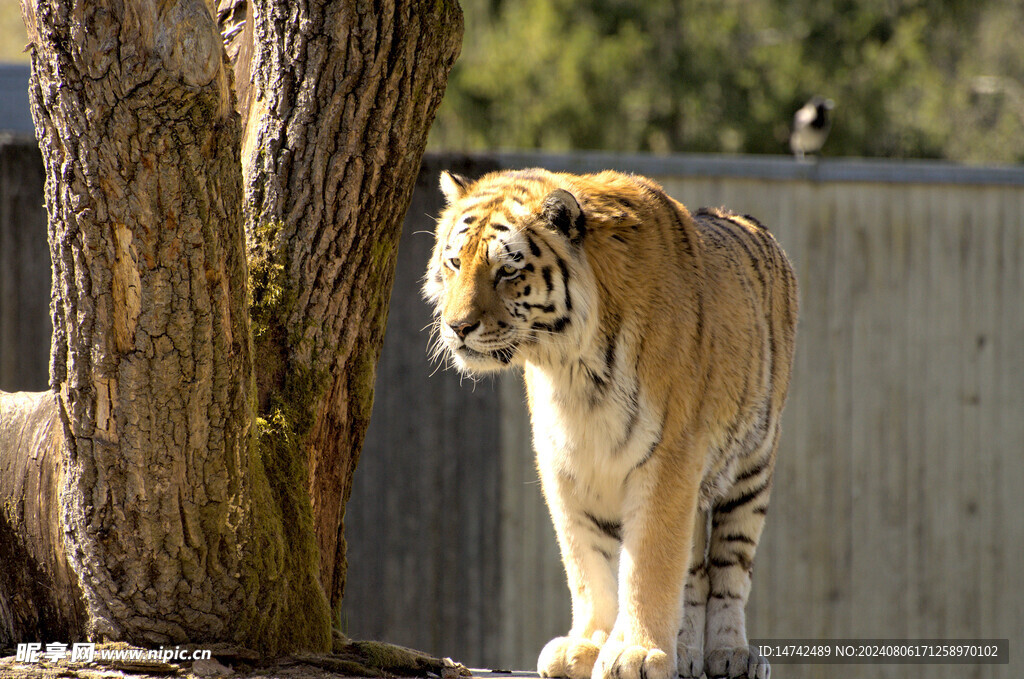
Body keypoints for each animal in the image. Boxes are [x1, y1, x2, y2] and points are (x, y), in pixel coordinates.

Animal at [423, 167, 798, 679]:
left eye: (507, 271)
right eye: (455, 263)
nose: (456, 327)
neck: (571, 368)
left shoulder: (670, 459)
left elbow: (648, 565)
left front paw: (638, 652)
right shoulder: (567, 466)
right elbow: (587, 563)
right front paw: (588, 645)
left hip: (751, 469)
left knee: (729, 572)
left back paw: (731, 654)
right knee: (694, 574)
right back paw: (684, 652)